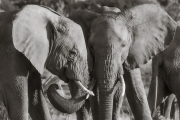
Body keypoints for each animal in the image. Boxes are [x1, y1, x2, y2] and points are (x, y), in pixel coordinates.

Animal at [46, 3, 177, 120]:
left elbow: (136, 92)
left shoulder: (132, 54)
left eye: (124, 45)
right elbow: (95, 96)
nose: (55, 86)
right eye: (91, 47)